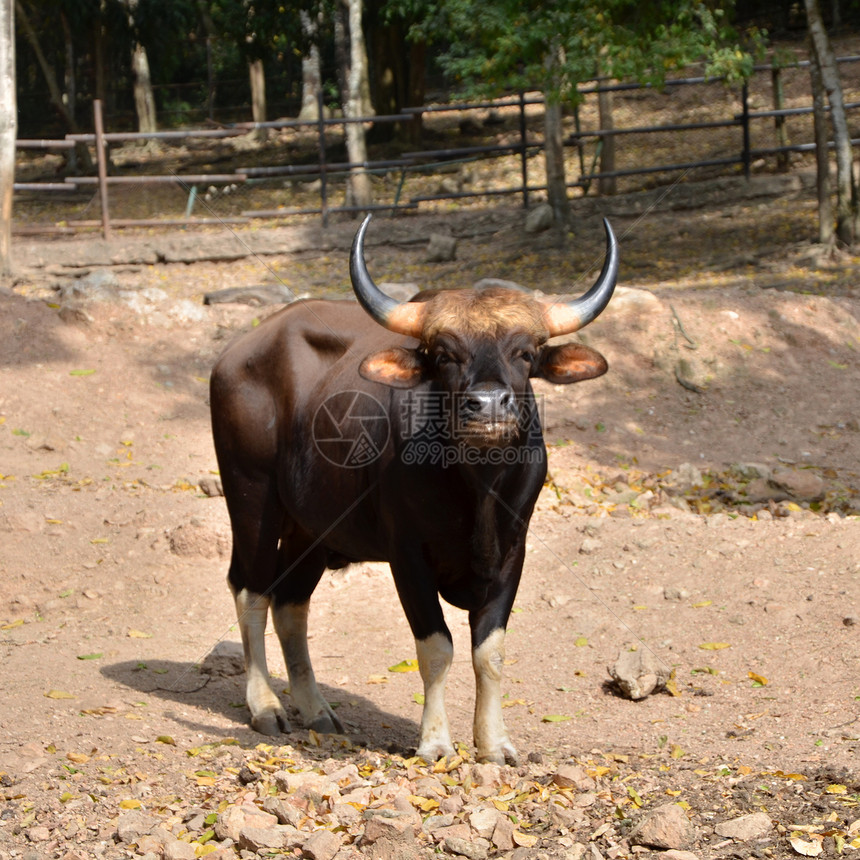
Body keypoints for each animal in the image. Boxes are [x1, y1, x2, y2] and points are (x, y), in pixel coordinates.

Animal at [212, 217, 620, 764]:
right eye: (444, 355)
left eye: (525, 352)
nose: (489, 404)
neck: (478, 490)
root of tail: (238, 353)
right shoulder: (407, 555)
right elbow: (437, 646)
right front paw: (435, 741)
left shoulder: (512, 552)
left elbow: (490, 652)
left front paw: (495, 743)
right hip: (251, 498)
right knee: (251, 591)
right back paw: (266, 707)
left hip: (311, 529)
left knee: (290, 603)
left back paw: (315, 709)